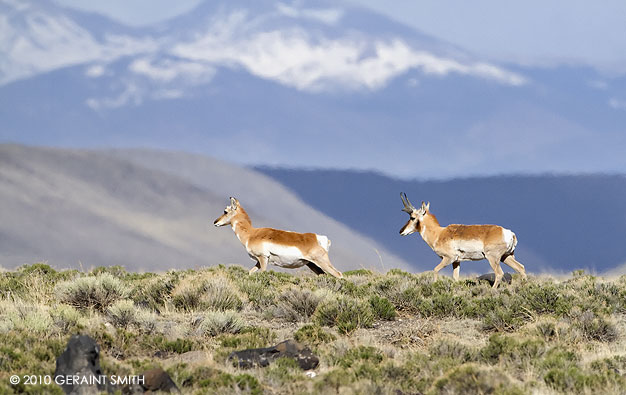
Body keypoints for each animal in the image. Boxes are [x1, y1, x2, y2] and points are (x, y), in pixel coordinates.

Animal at [213, 197, 342, 278]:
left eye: (225, 211)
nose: (215, 222)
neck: (252, 234)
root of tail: (317, 237)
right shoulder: (258, 261)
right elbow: (250, 273)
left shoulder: (263, 258)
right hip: (312, 264)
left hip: (322, 262)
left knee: (339, 275)